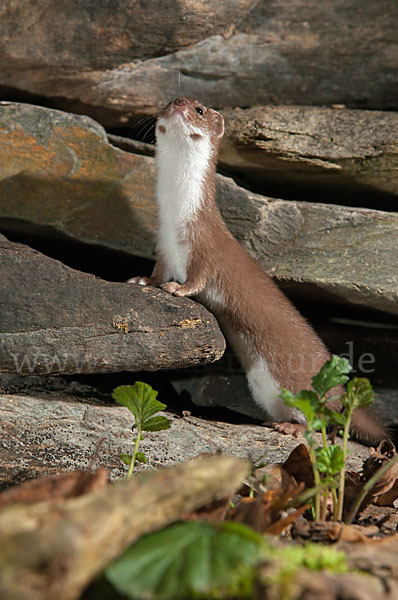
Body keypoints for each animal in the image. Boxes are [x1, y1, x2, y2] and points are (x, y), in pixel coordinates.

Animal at [129, 97, 388, 446]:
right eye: (170, 101)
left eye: (199, 109)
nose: (179, 103)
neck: (174, 220)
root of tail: (337, 390)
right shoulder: (165, 249)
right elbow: (158, 271)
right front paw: (143, 280)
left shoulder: (206, 249)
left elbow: (199, 277)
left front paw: (176, 289)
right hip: (265, 388)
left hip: (300, 384)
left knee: (323, 419)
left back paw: (293, 427)